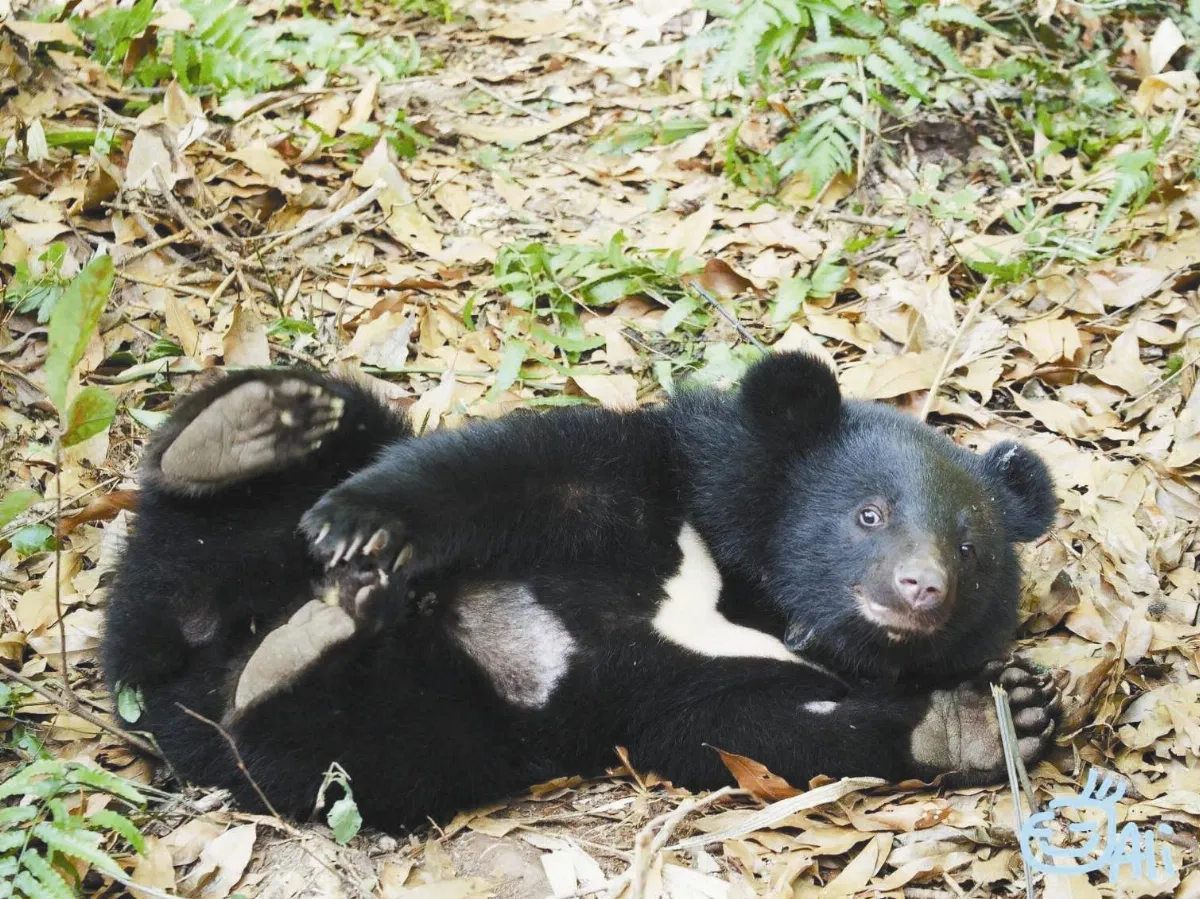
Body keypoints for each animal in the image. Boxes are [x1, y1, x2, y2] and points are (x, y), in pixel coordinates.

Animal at [101, 351, 1061, 831]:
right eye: (869, 513)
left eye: (971, 548)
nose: (921, 587)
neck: (763, 596)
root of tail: (161, 661)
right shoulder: (655, 479)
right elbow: (515, 470)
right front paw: (362, 523)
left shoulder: (704, 685)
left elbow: (763, 728)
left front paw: (991, 715)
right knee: (338, 431)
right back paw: (259, 423)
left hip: (431, 714)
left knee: (326, 735)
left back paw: (298, 635)